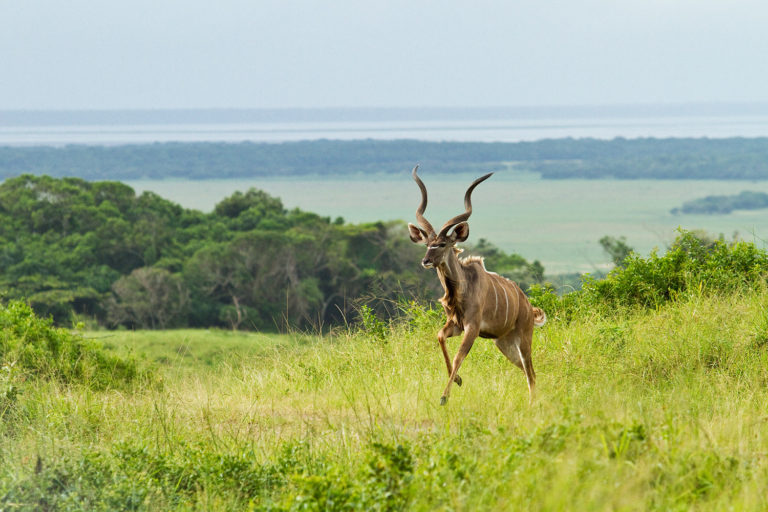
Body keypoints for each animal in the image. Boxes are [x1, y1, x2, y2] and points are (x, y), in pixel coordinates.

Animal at [408, 166, 544, 406]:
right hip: (504, 343)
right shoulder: (455, 324)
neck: (462, 289)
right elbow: (440, 337)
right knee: (526, 370)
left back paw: (532, 404)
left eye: (442, 244)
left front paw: (444, 397)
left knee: (530, 371)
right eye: (427, 244)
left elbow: (458, 356)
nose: (426, 261)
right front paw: (458, 380)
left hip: (524, 337)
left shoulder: (472, 326)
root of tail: (528, 306)